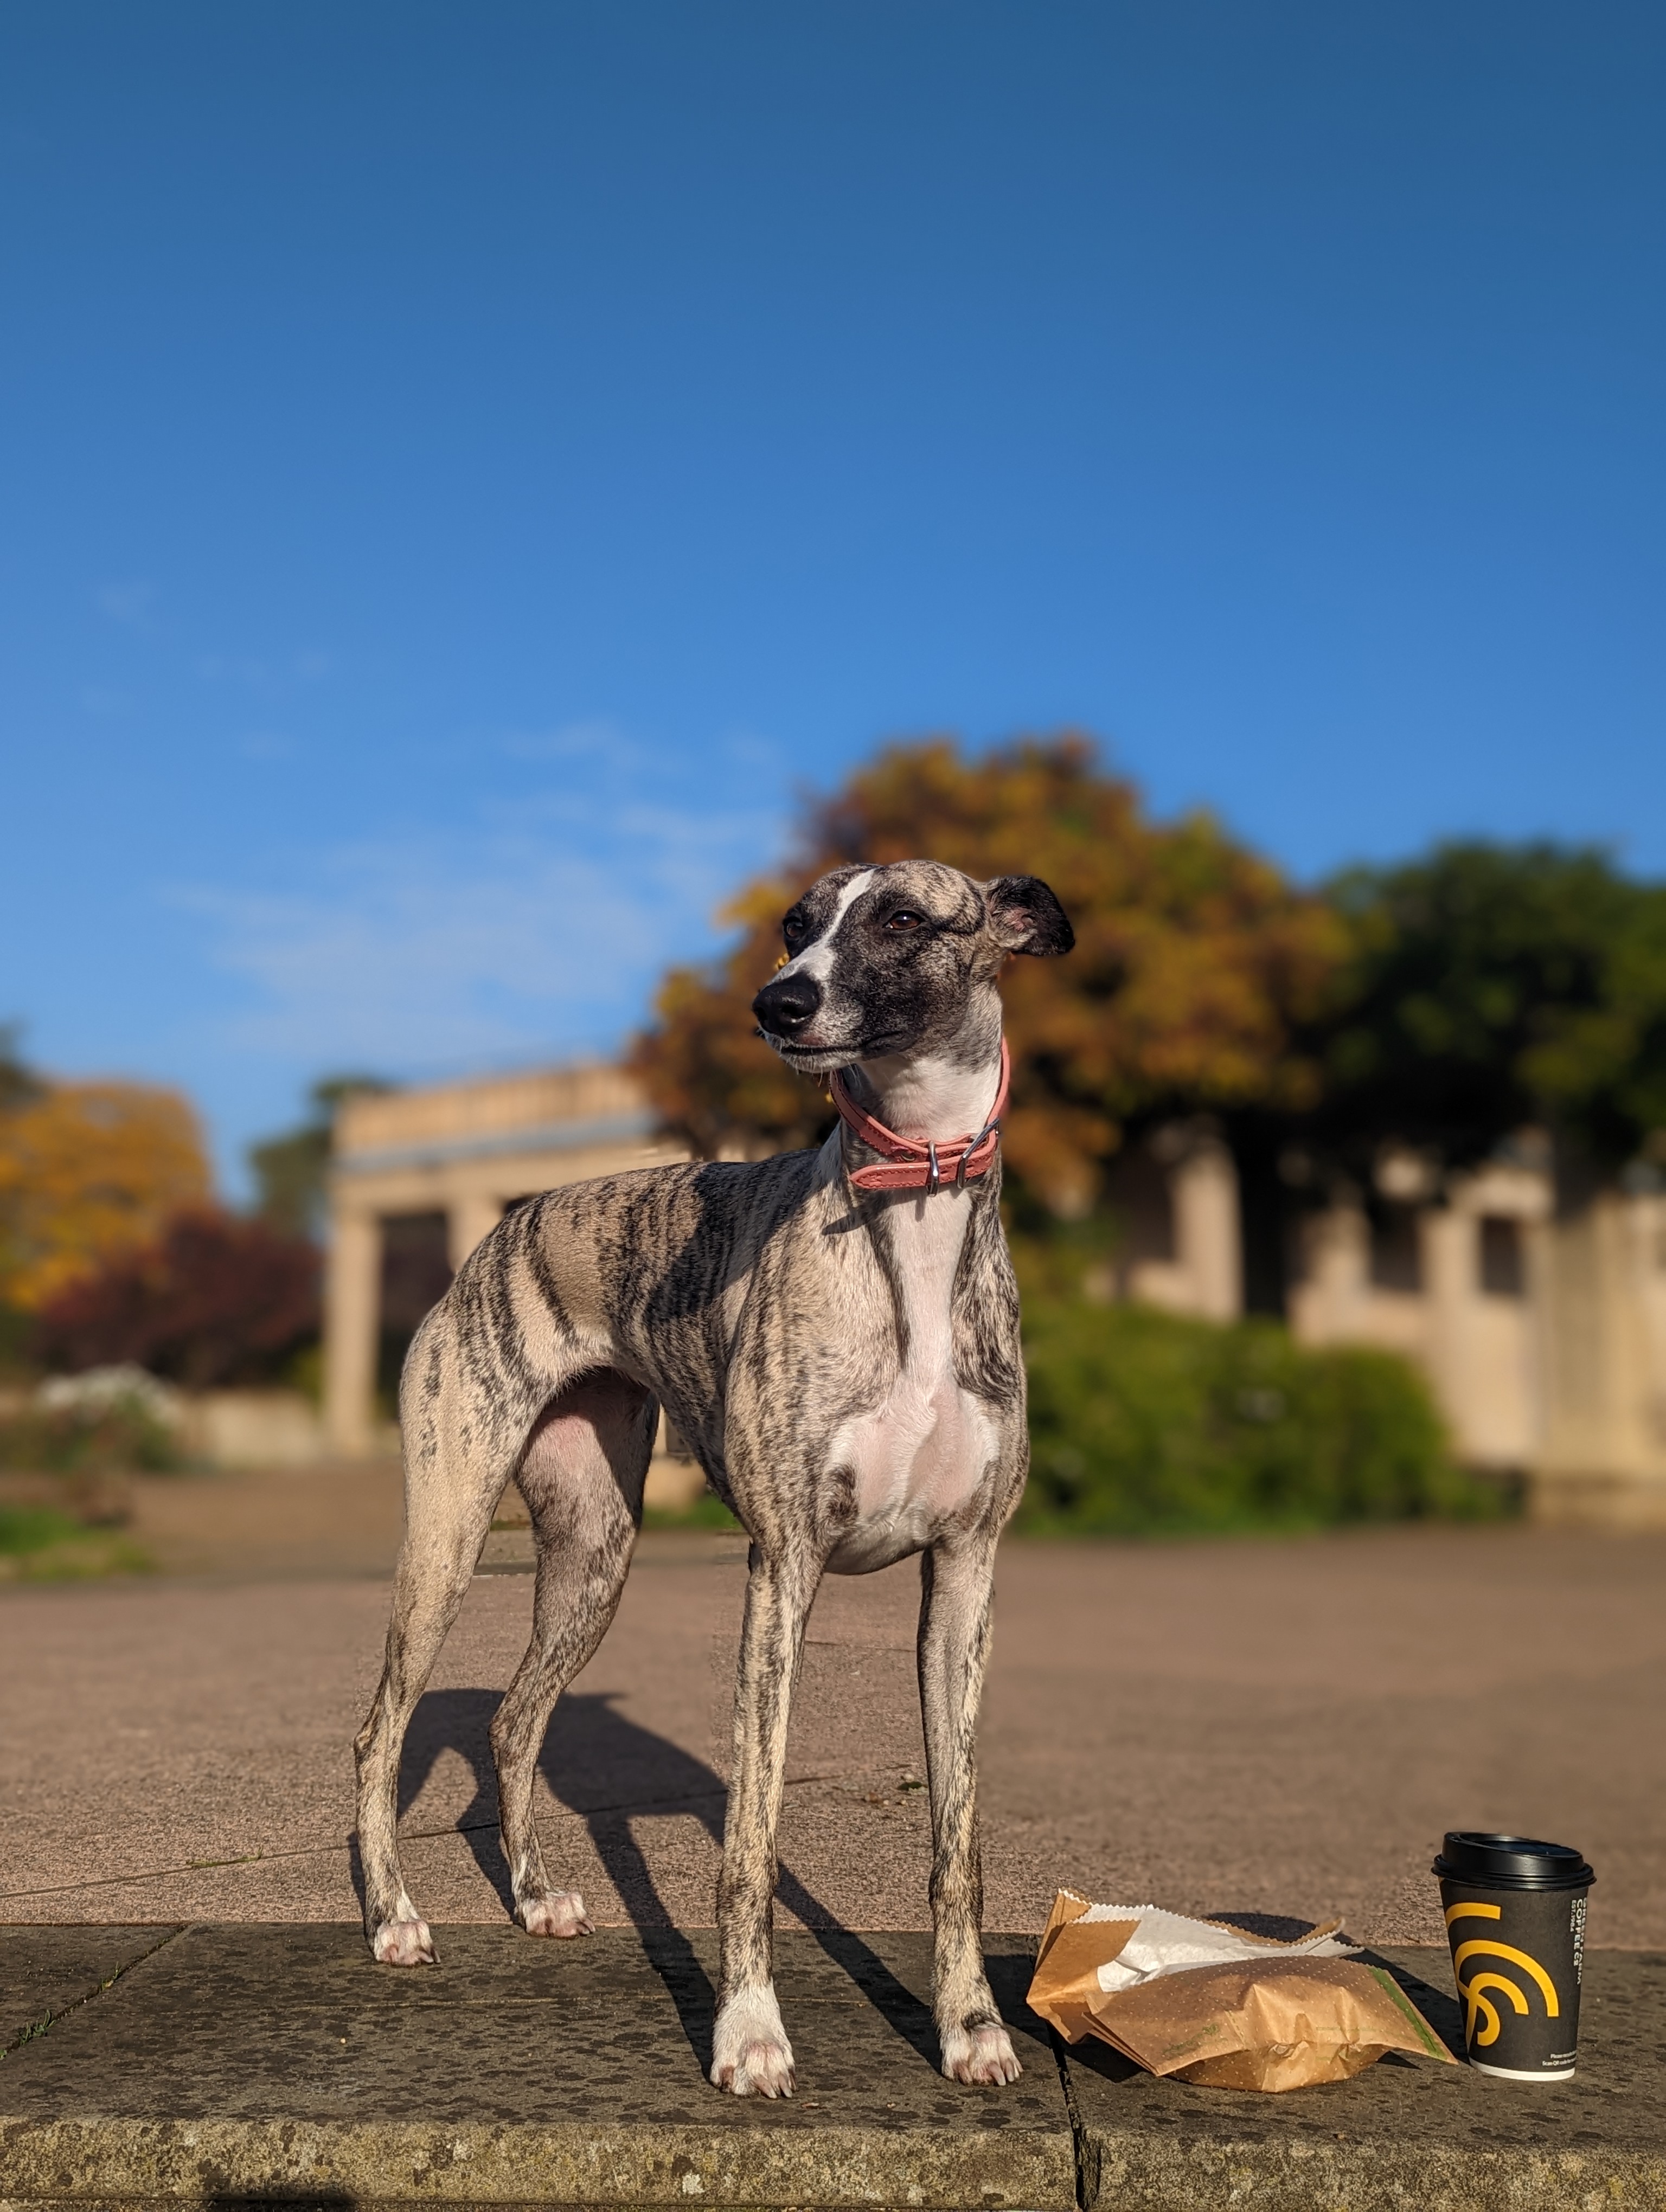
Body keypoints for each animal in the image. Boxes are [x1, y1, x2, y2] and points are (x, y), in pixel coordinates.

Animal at [356, 853, 1071, 2097]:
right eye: (795, 922)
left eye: (901, 916)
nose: (776, 1005)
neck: (912, 1212)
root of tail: (507, 1225)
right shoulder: (782, 1570)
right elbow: (751, 1843)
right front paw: (748, 2033)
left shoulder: (965, 1578)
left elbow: (959, 1843)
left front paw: (972, 2028)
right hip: (448, 1535)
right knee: (381, 1730)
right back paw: (393, 1917)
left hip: (595, 1552)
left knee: (514, 1721)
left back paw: (535, 1898)